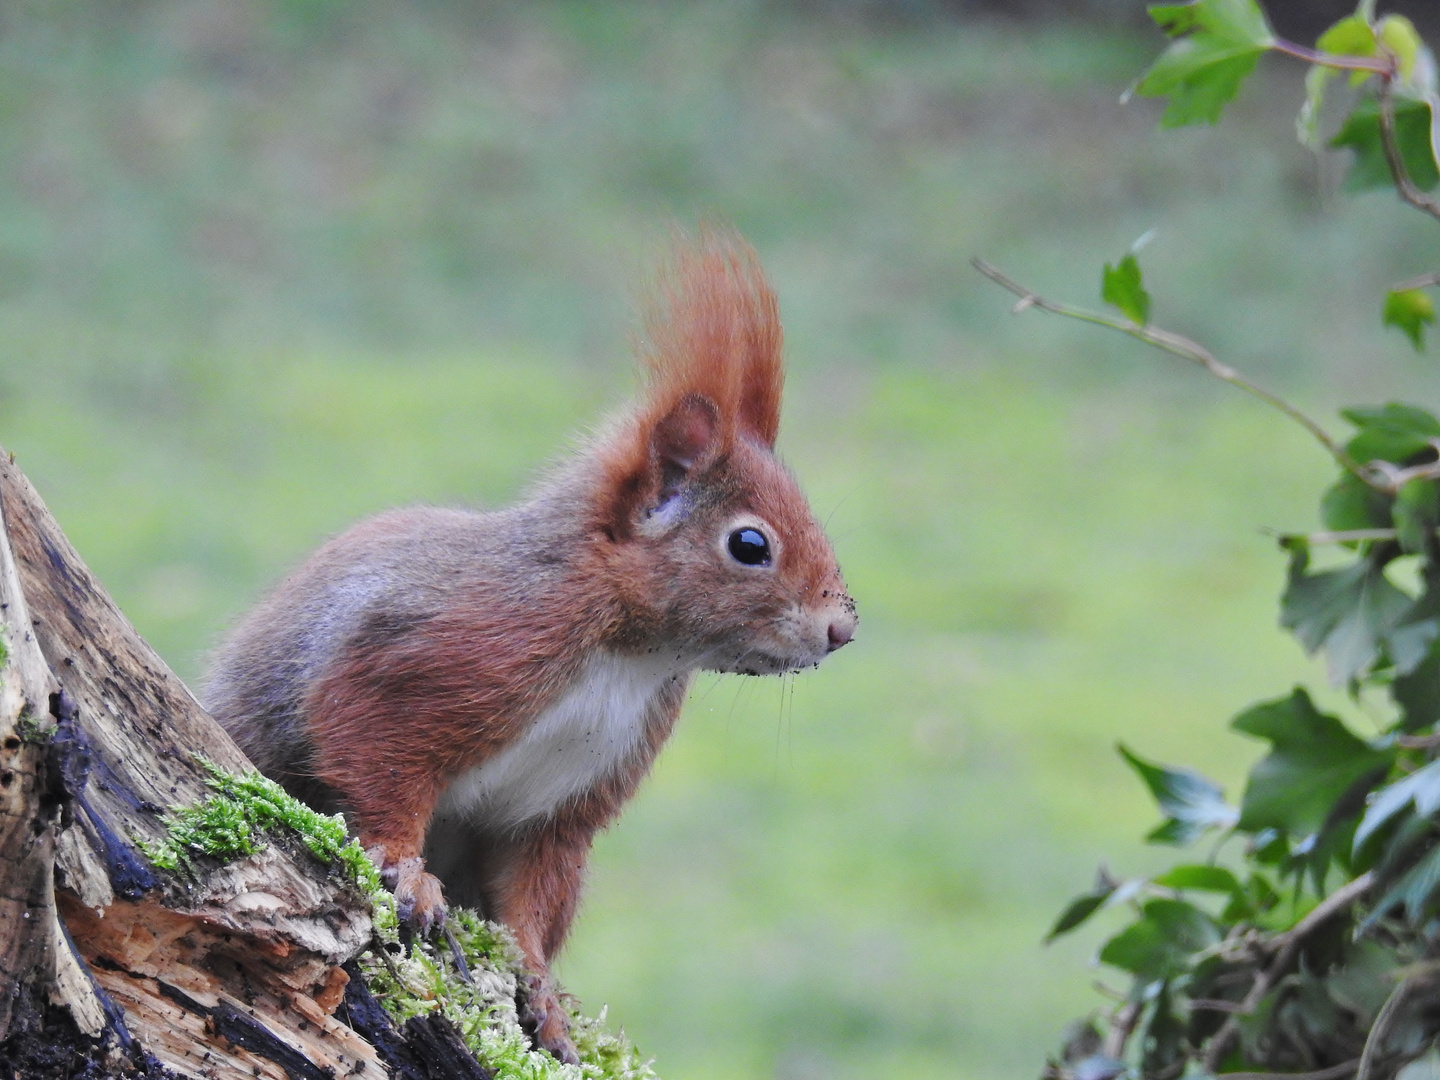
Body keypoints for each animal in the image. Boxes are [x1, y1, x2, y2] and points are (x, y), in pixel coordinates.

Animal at [201, 230, 852, 1065]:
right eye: (749, 545)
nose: (842, 629)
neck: (627, 656)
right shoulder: (427, 656)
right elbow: (371, 754)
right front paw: (406, 872)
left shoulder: (556, 807)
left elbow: (529, 899)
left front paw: (542, 994)